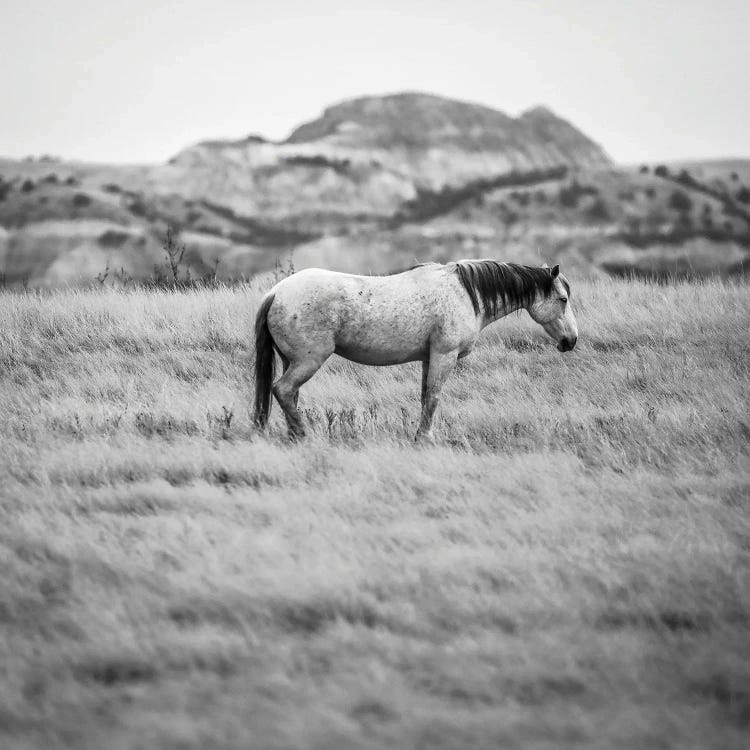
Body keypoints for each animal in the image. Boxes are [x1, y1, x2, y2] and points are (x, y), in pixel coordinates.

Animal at [256, 262, 580, 444]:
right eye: (563, 299)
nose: (571, 340)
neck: (465, 293)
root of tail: (276, 292)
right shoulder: (444, 356)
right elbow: (434, 398)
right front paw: (426, 438)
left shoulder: (428, 359)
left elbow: (425, 397)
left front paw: (419, 434)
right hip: (309, 361)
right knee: (283, 390)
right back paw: (304, 434)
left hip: (291, 360)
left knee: (289, 395)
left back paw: (293, 436)